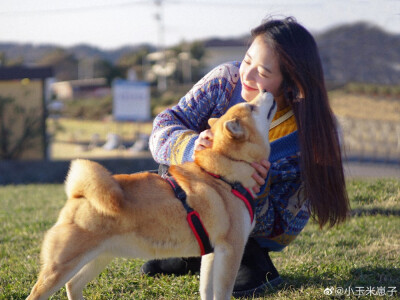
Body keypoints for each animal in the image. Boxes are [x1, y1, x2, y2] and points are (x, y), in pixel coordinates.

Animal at [26, 91, 276, 300]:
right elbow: (222, 292)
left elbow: (207, 291)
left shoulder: (212, 254)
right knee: (40, 293)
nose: (266, 90)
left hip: (99, 256)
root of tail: (79, 194)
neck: (224, 173)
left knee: (73, 285)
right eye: (251, 106)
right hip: (63, 265)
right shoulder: (231, 249)